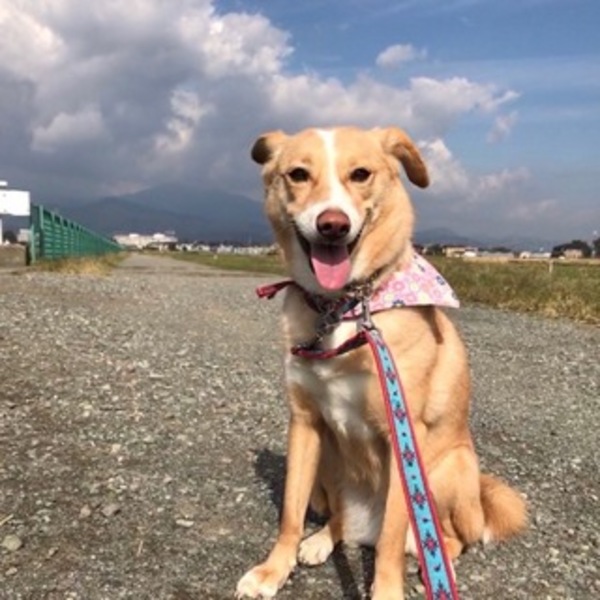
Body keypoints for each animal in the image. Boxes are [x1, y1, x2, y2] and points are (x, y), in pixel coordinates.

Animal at [236, 126, 526, 599]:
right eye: (297, 174)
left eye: (360, 174)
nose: (332, 224)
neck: (345, 309)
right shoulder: (304, 423)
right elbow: (290, 514)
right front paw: (272, 570)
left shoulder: (401, 438)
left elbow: (391, 539)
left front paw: (387, 589)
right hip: (329, 465)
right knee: (340, 519)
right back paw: (322, 539)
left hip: (449, 469)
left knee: (450, 537)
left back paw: (432, 562)